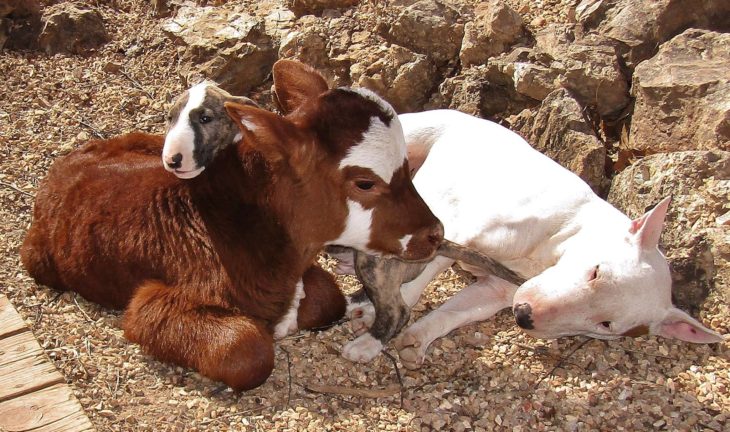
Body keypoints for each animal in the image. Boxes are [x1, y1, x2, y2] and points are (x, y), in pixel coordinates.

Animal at [22, 60, 440, 388]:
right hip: (38, 260)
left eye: (408, 166)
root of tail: (61, 166)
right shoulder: (152, 302)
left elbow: (327, 297)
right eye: (365, 183)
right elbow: (247, 349)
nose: (436, 233)